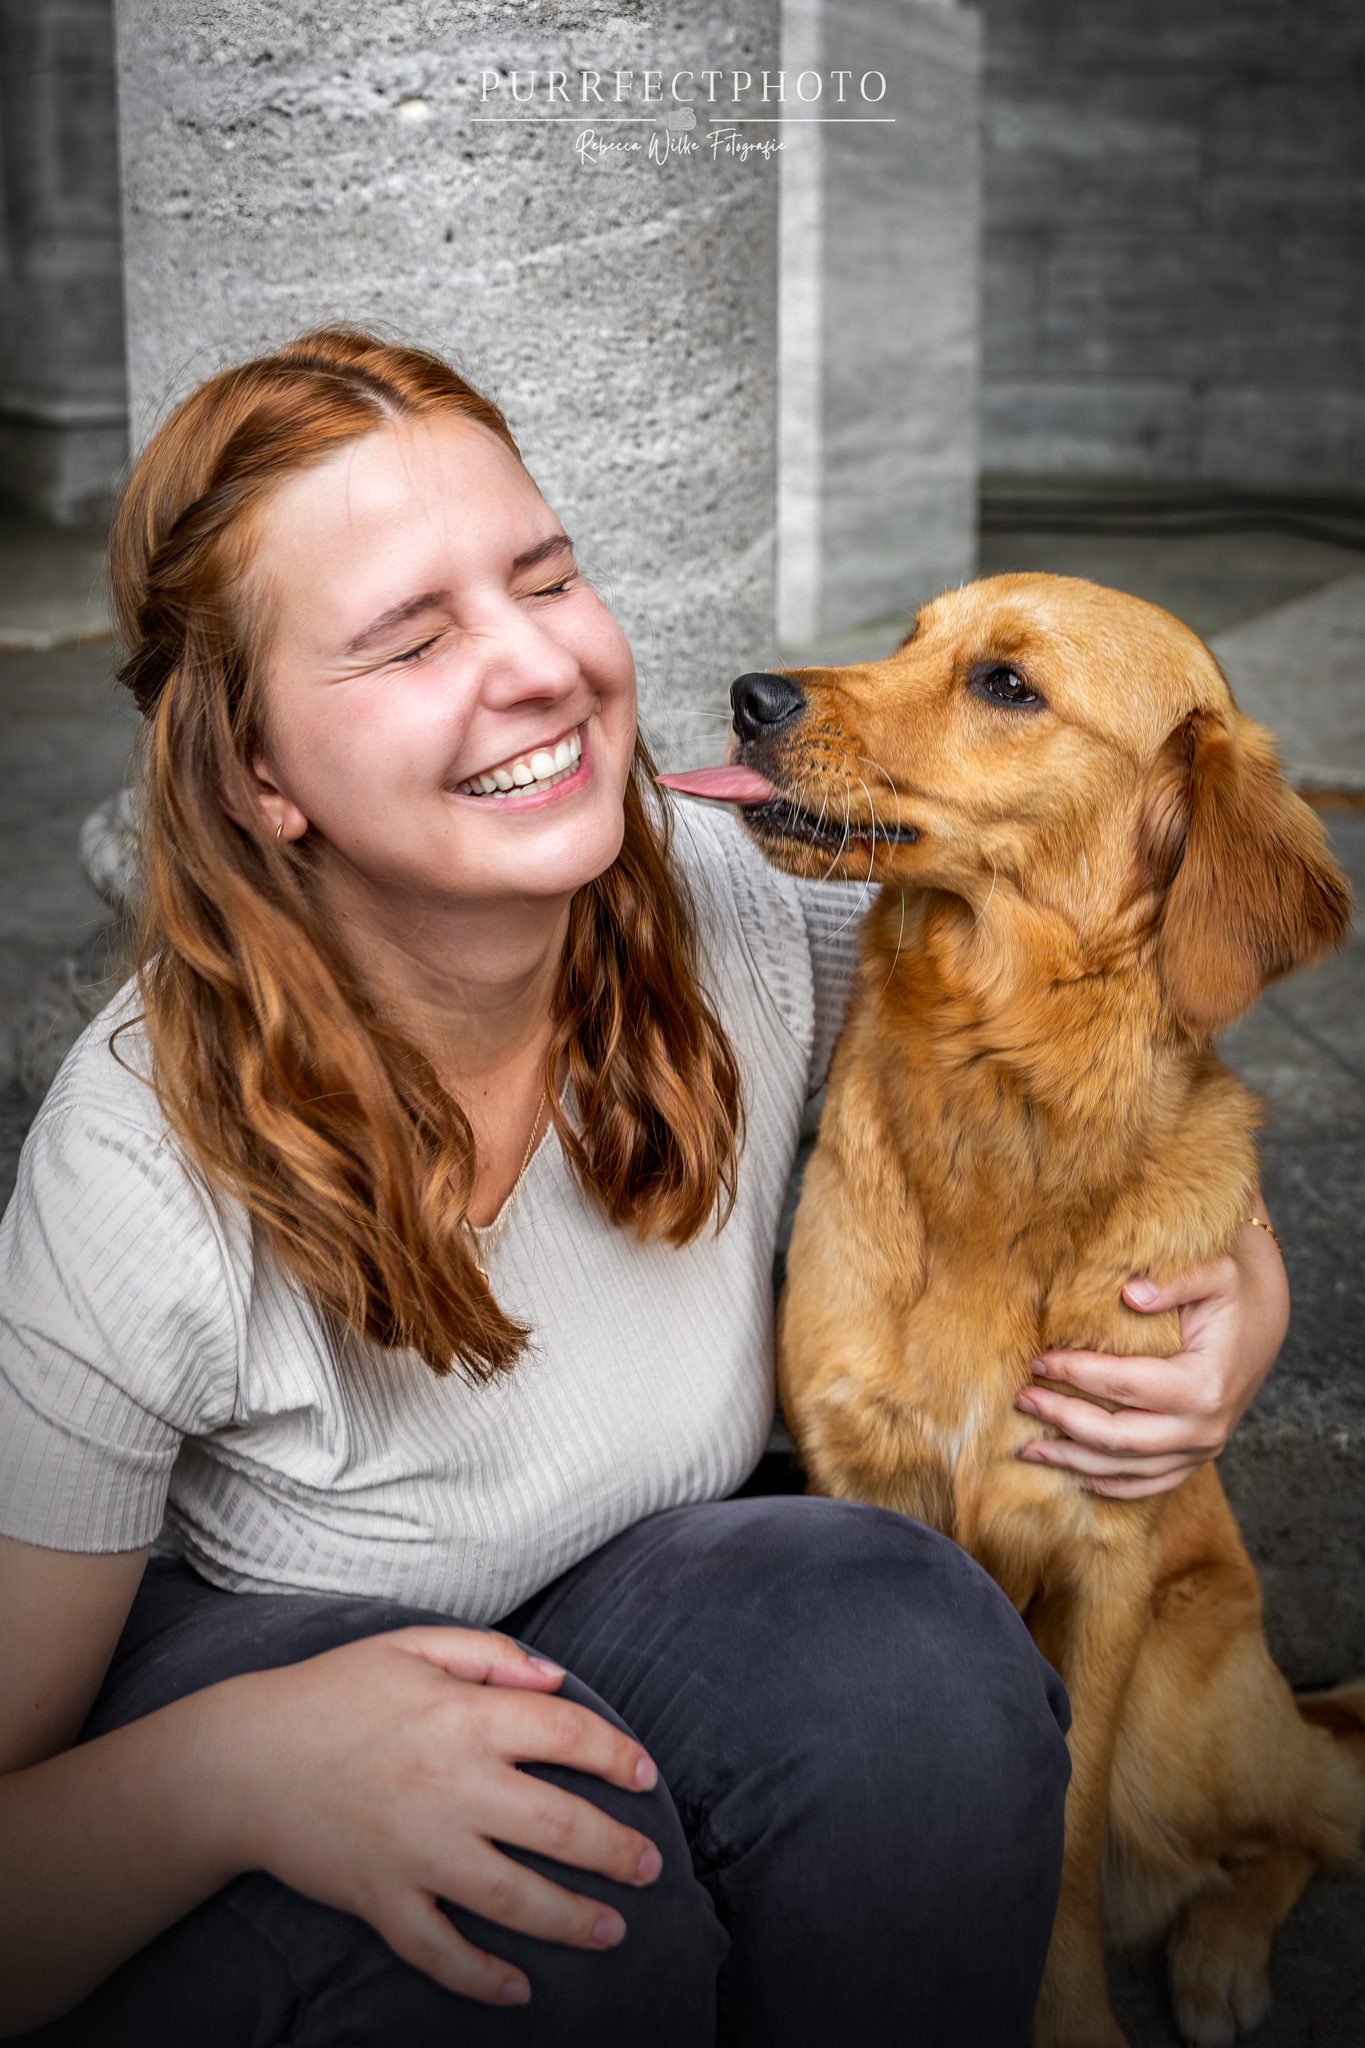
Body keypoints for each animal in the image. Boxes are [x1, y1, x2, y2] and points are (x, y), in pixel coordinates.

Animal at [663, 574, 1364, 2047]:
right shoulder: (872, 1492)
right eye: (909, 637)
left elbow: (1070, 1840)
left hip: (1179, 1703)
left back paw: (1221, 1956)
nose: (751, 696)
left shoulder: (1105, 1561)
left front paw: (1074, 2020)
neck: (1000, 1096)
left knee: (1318, 1820)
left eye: (1006, 685)